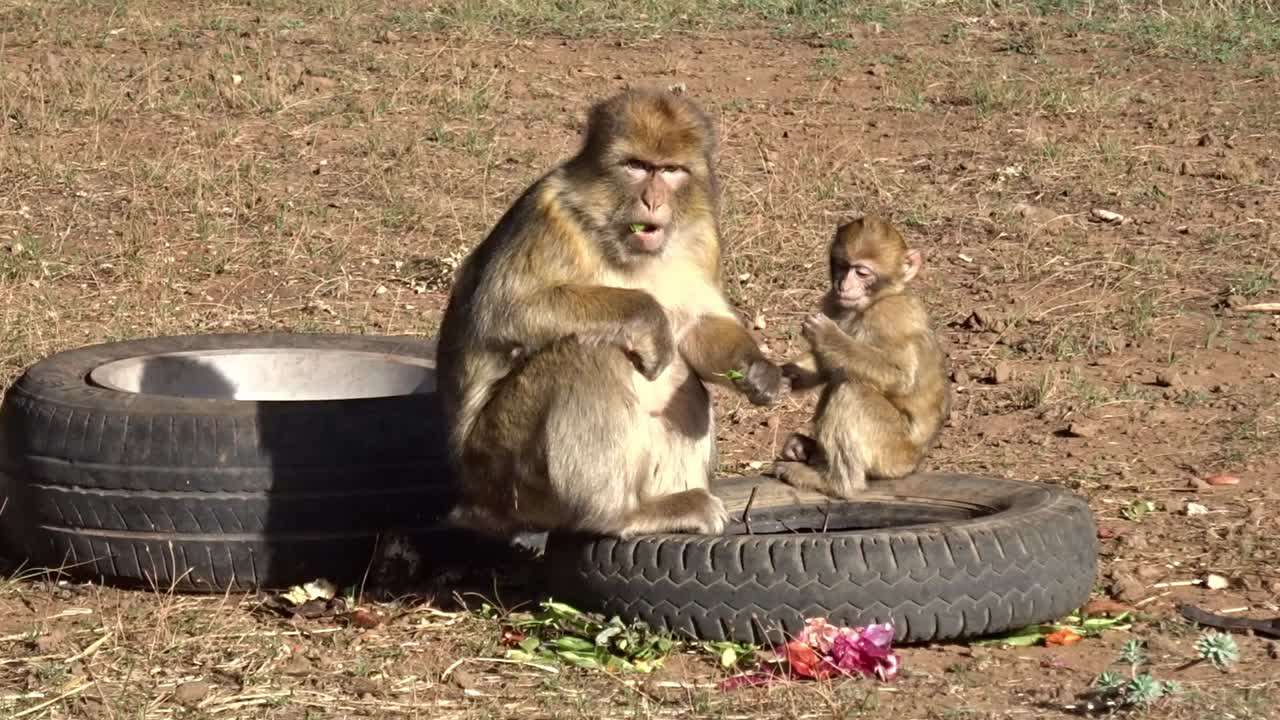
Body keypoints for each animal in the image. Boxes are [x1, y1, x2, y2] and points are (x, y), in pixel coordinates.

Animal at [435, 87, 788, 540]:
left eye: (670, 170)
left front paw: (755, 369)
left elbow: (699, 326)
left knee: (683, 380)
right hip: (501, 467)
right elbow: (502, 311)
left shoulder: (704, 234)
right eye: (636, 166)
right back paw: (620, 514)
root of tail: (475, 501)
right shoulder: (551, 214)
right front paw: (650, 316)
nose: (653, 199)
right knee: (587, 353)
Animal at [768, 215, 951, 500]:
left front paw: (829, 336)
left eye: (862, 272)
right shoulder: (833, 302)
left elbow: (901, 376)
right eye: (843, 266)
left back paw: (835, 482)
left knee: (851, 392)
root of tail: (915, 462)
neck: (874, 302)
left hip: (892, 452)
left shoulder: (890, 316)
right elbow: (827, 366)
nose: (844, 285)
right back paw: (808, 450)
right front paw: (786, 375)